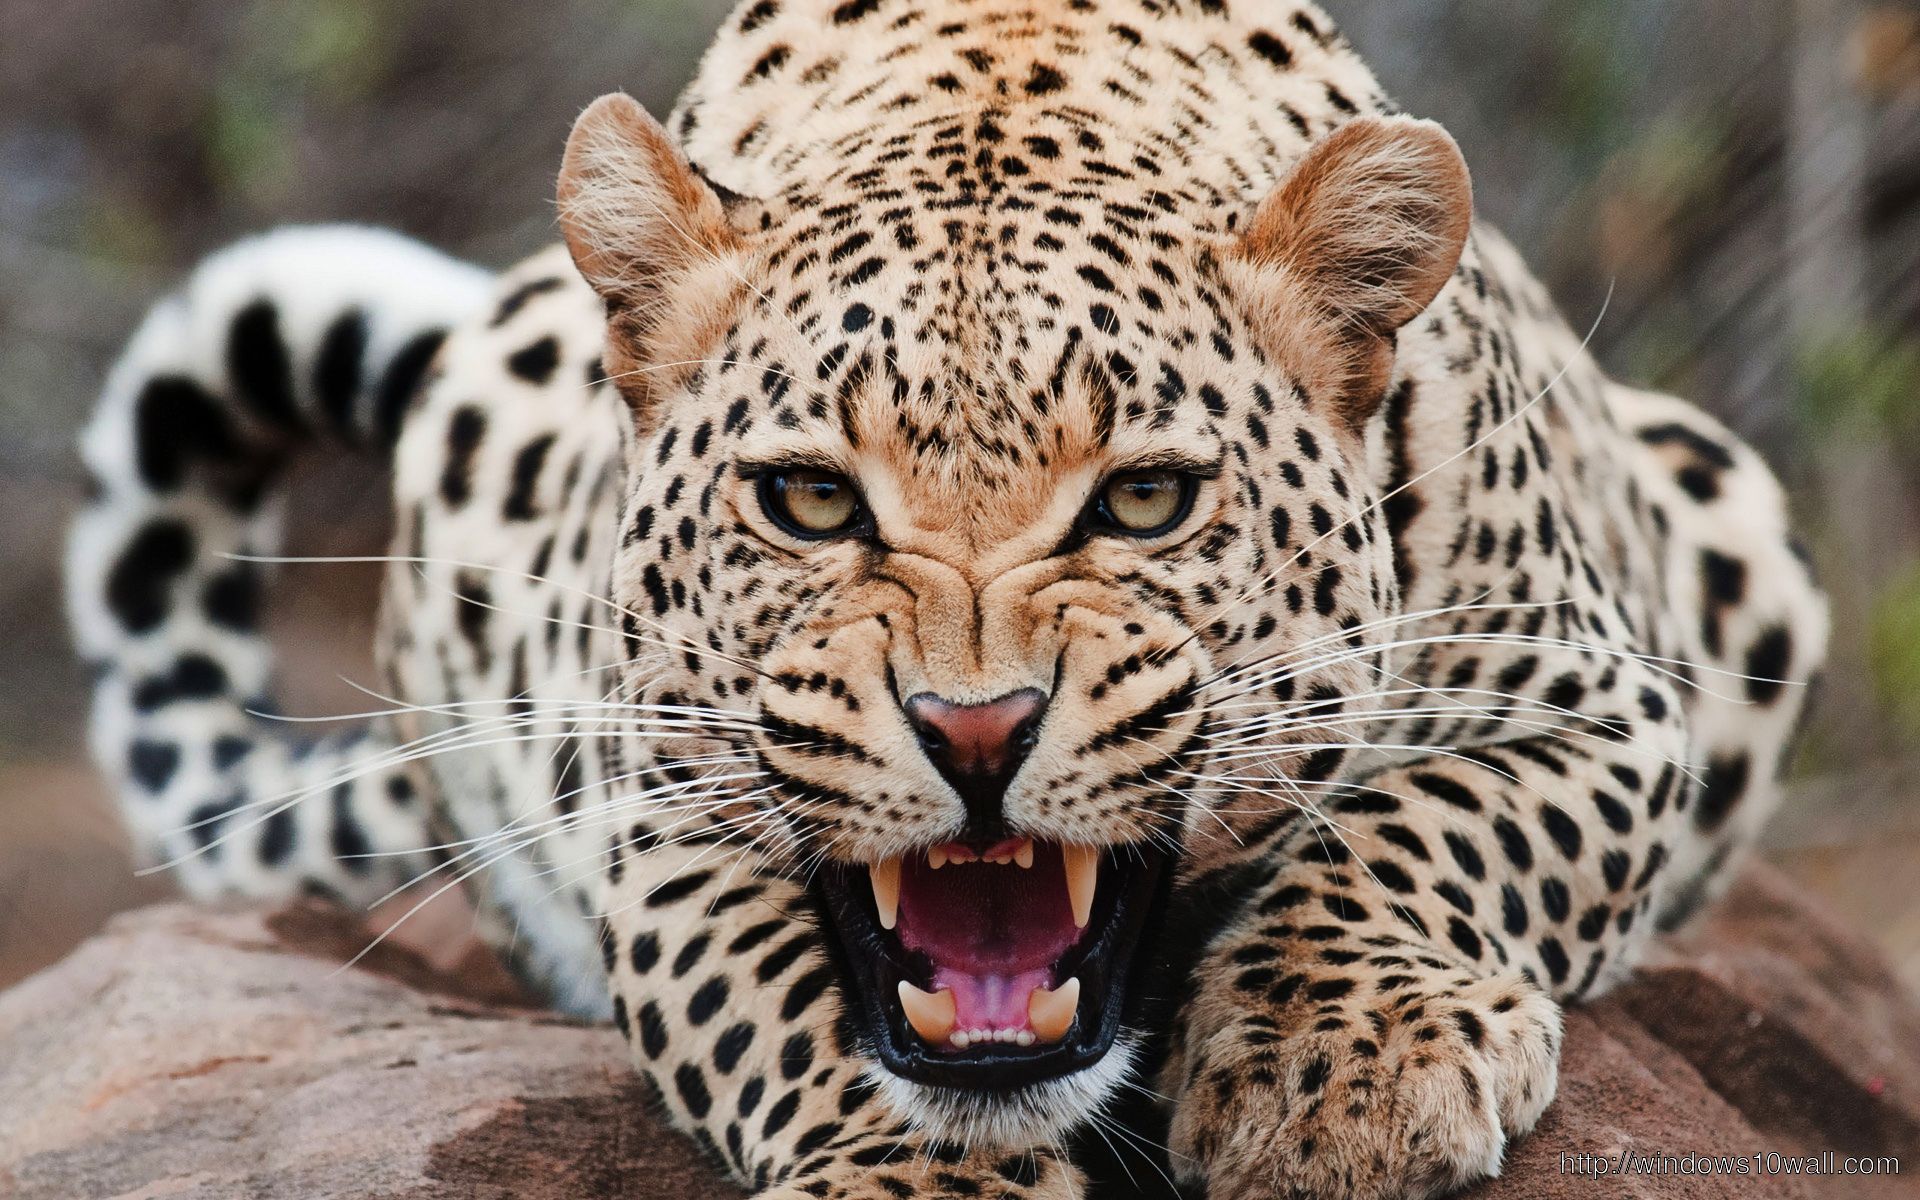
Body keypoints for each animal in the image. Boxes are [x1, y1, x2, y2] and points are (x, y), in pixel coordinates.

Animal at [66, 0, 1829, 1196]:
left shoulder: (1604, 702)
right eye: (809, 500)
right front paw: (915, 1178)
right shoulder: (655, 804)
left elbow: (1429, 828)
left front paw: (1342, 1073)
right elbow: (778, 1000)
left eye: (1144, 500)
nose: (976, 733)